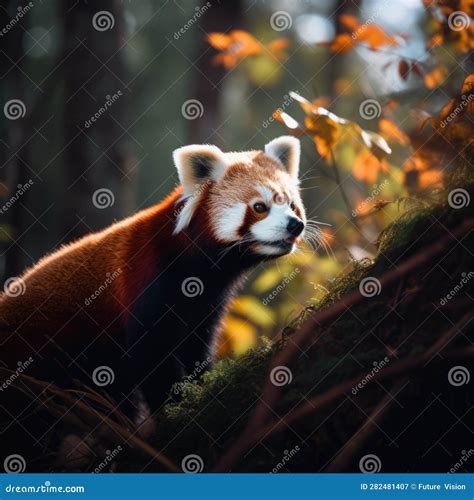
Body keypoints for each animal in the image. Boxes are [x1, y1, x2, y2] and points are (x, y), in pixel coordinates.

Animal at [0, 135, 308, 428]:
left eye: (292, 205)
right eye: (260, 207)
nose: (295, 225)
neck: (200, 270)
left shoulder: (207, 301)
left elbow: (196, 345)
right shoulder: (149, 278)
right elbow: (151, 354)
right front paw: (175, 407)